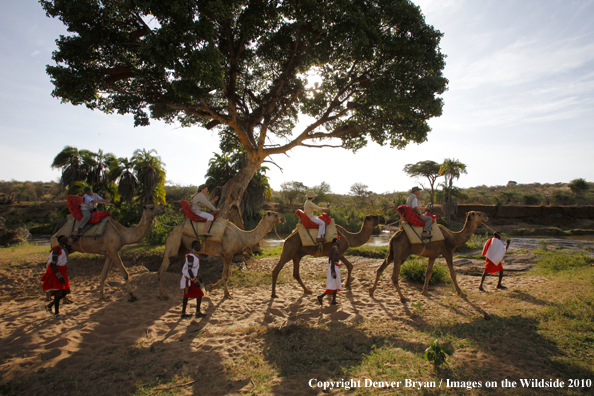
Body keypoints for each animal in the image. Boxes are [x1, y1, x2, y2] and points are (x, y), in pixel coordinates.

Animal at [156, 210, 286, 300]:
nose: (283, 218)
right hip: (174, 242)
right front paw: (227, 294)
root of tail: (170, 233)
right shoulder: (228, 254)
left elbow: (228, 273)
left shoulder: (225, 255)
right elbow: (225, 275)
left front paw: (211, 287)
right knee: (163, 268)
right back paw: (162, 295)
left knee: (183, 268)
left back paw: (187, 292)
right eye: (274, 214)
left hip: (183, 248)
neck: (242, 236)